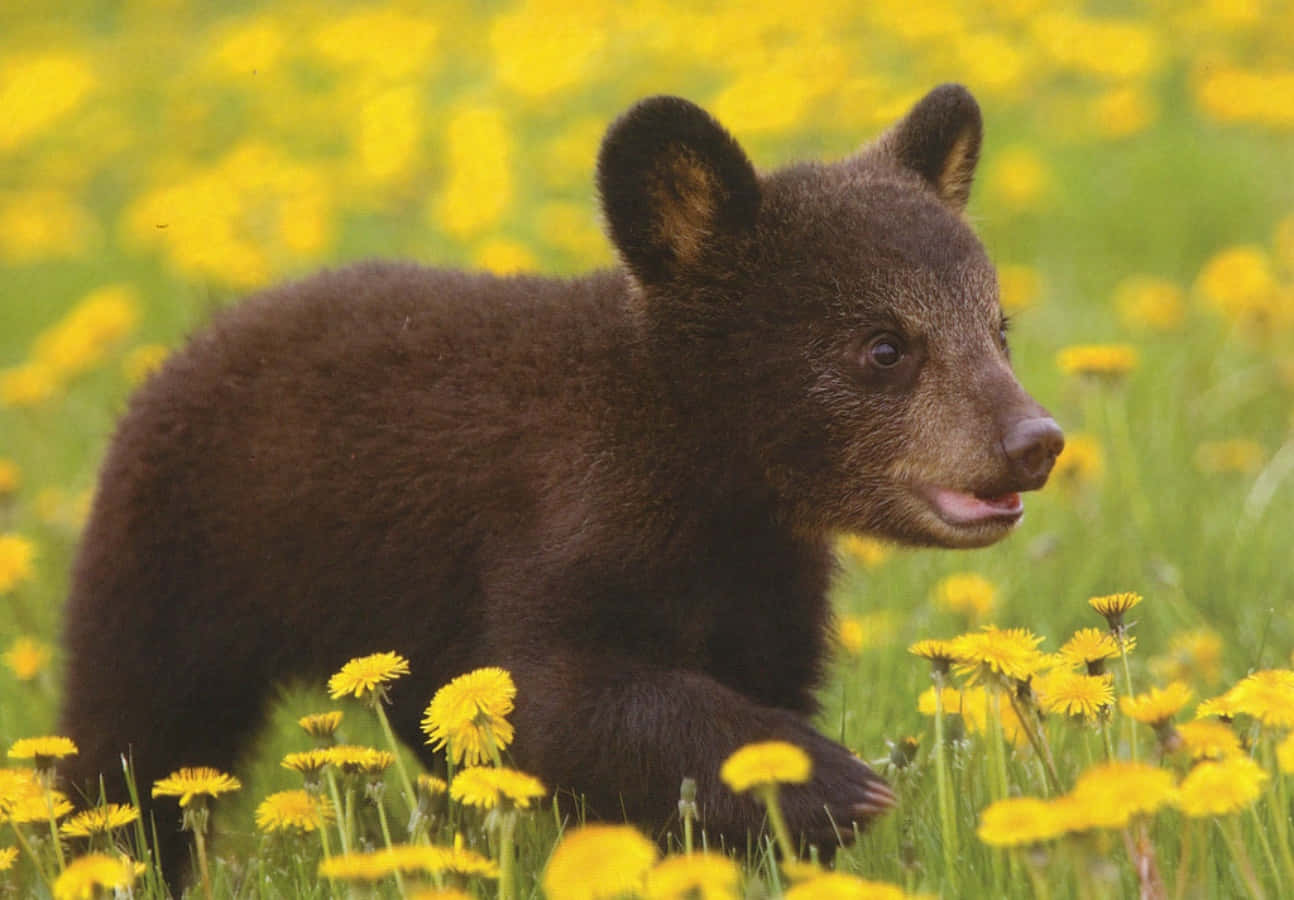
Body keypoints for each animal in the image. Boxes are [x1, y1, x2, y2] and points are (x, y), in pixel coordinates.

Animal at [58, 83, 1062, 886]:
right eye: (884, 347)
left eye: (997, 329)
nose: (1035, 441)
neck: (714, 484)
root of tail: (174, 357)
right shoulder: (557, 521)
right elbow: (557, 698)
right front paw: (834, 782)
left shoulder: (765, 579)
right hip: (175, 562)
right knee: (133, 731)